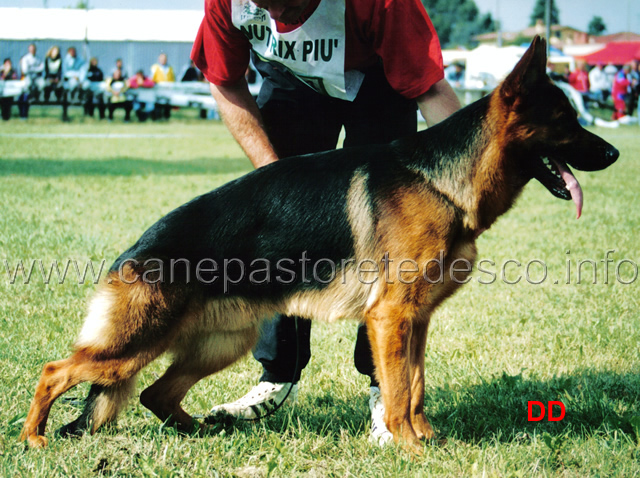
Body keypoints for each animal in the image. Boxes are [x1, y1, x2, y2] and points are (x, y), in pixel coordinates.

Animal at [21, 35, 620, 450]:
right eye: (566, 121)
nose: (615, 154)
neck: (441, 180)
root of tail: (134, 251)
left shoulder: (416, 320)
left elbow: (415, 385)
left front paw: (425, 439)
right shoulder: (390, 316)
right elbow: (398, 390)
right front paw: (408, 447)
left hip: (220, 343)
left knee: (154, 393)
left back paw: (205, 433)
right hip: (133, 344)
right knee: (57, 372)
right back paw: (33, 439)